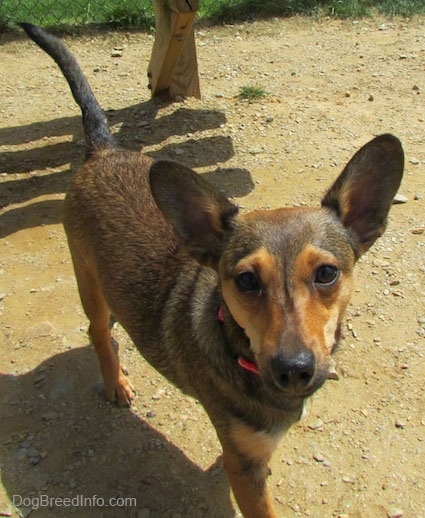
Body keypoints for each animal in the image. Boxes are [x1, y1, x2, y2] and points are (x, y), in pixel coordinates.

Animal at [20, 23, 404, 518]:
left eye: (326, 274)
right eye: (246, 281)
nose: (294, 370)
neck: (237, 346)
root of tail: (103, 151)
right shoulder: (245, 468)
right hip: (88, 282)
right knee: (97, 332)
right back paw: (115, 382)